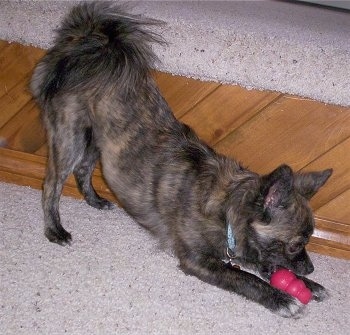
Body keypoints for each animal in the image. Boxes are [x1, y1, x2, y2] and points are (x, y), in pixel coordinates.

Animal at [29, 1, 330, 318]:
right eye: (295, 245)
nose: (311, 268)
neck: (226, 207)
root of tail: (86, 43)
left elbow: (260, 263)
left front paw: (308, 285)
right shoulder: (197, 260)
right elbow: (244, 277)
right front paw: (281, 297)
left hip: (96, 141)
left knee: (84, 170)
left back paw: (95, 201)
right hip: (70, 138)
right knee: (51, 185)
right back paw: (55, 230)